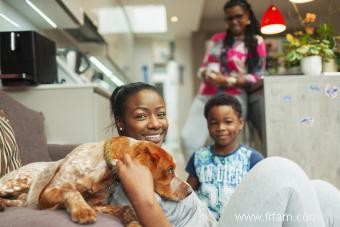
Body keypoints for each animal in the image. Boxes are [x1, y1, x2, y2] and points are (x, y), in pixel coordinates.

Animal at [0, 136, 191, 226]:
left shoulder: (98, 203)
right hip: (18, 181)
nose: (190, 191)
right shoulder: (48, 193)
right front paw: (82, 211)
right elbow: (71, 190)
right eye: (170, 170)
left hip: (21, 200)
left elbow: (126, 208)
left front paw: (133, 222)